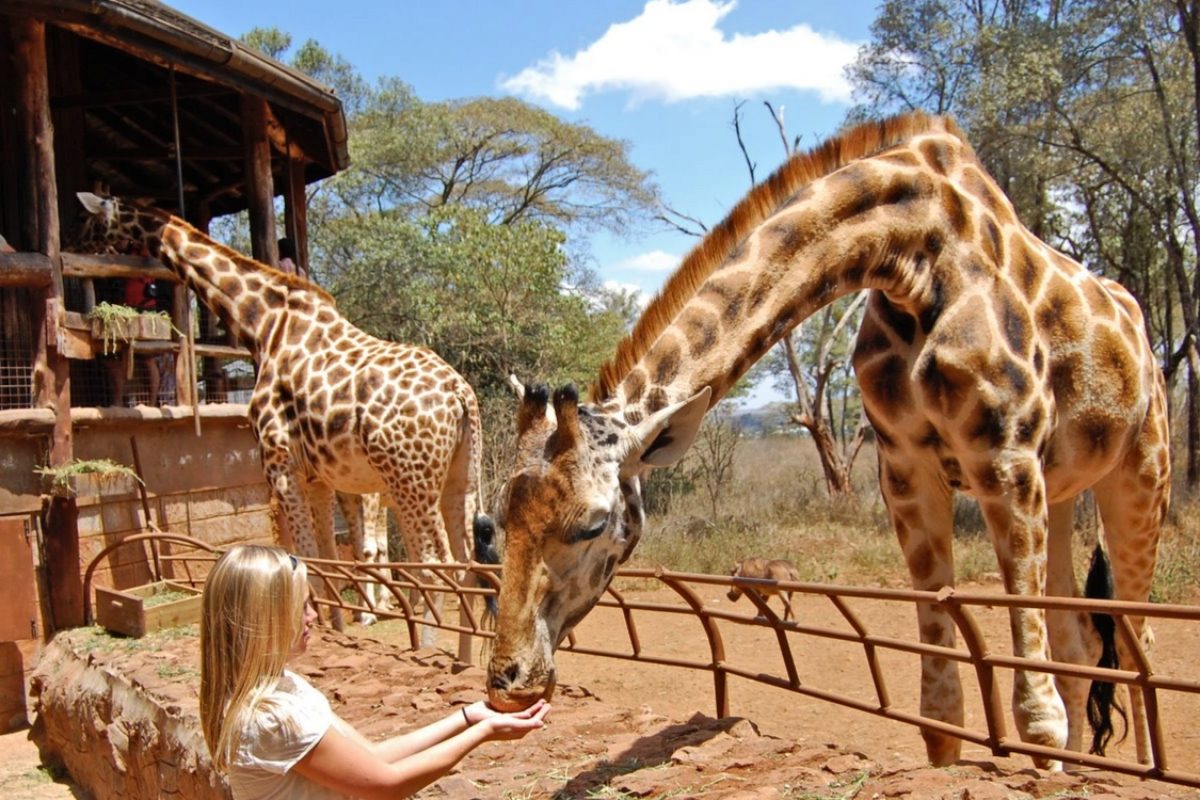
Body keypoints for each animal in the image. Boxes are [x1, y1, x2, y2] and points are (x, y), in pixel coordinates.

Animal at [75, 193, 490, 657]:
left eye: (89, 224)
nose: (78, 253)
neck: (262, 324)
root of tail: (459, 393)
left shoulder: (278, 465)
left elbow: (305, 560)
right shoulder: (319, 477)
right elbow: (328, 559)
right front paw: (335, 627)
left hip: (409, 479)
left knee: (437, 565)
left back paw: (429, 649)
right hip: (458, 475)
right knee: (467, 562)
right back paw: (461, 656)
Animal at [484, 113, 1170, 770]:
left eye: (595, 524)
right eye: (498, 521)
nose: (508, 683)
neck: (914, 255)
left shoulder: (1005, 457)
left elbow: (1037, 711)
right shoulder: (906, 472)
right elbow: (940, 708)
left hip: (1139, 475)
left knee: (1141, 643)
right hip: (1063, 489)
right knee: (1080, 635)